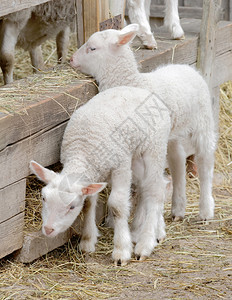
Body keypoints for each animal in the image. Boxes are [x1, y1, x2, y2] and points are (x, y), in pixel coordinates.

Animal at [30, 86, 171, 264]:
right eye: (43, 198)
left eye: (71, 207)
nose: (48, 229)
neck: (82, 151)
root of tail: (141, 90)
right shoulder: (93, 174)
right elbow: (89, 204)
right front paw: (87, 240)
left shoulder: (120, 166)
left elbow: (117, 205)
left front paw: (121, 251)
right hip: (136, 156)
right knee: (152, 186)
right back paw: (155, 231)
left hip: (154, 147)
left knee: (155, 191)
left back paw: (145, 243)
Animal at [70, 22, 217, 220]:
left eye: (92, 48)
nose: (71, 59)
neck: (132, 82)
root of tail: (188, 68)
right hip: (170, 133)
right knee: (177, 160)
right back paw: (178, 208)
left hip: (203, 119)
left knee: (205, 161)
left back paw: (206, 210)